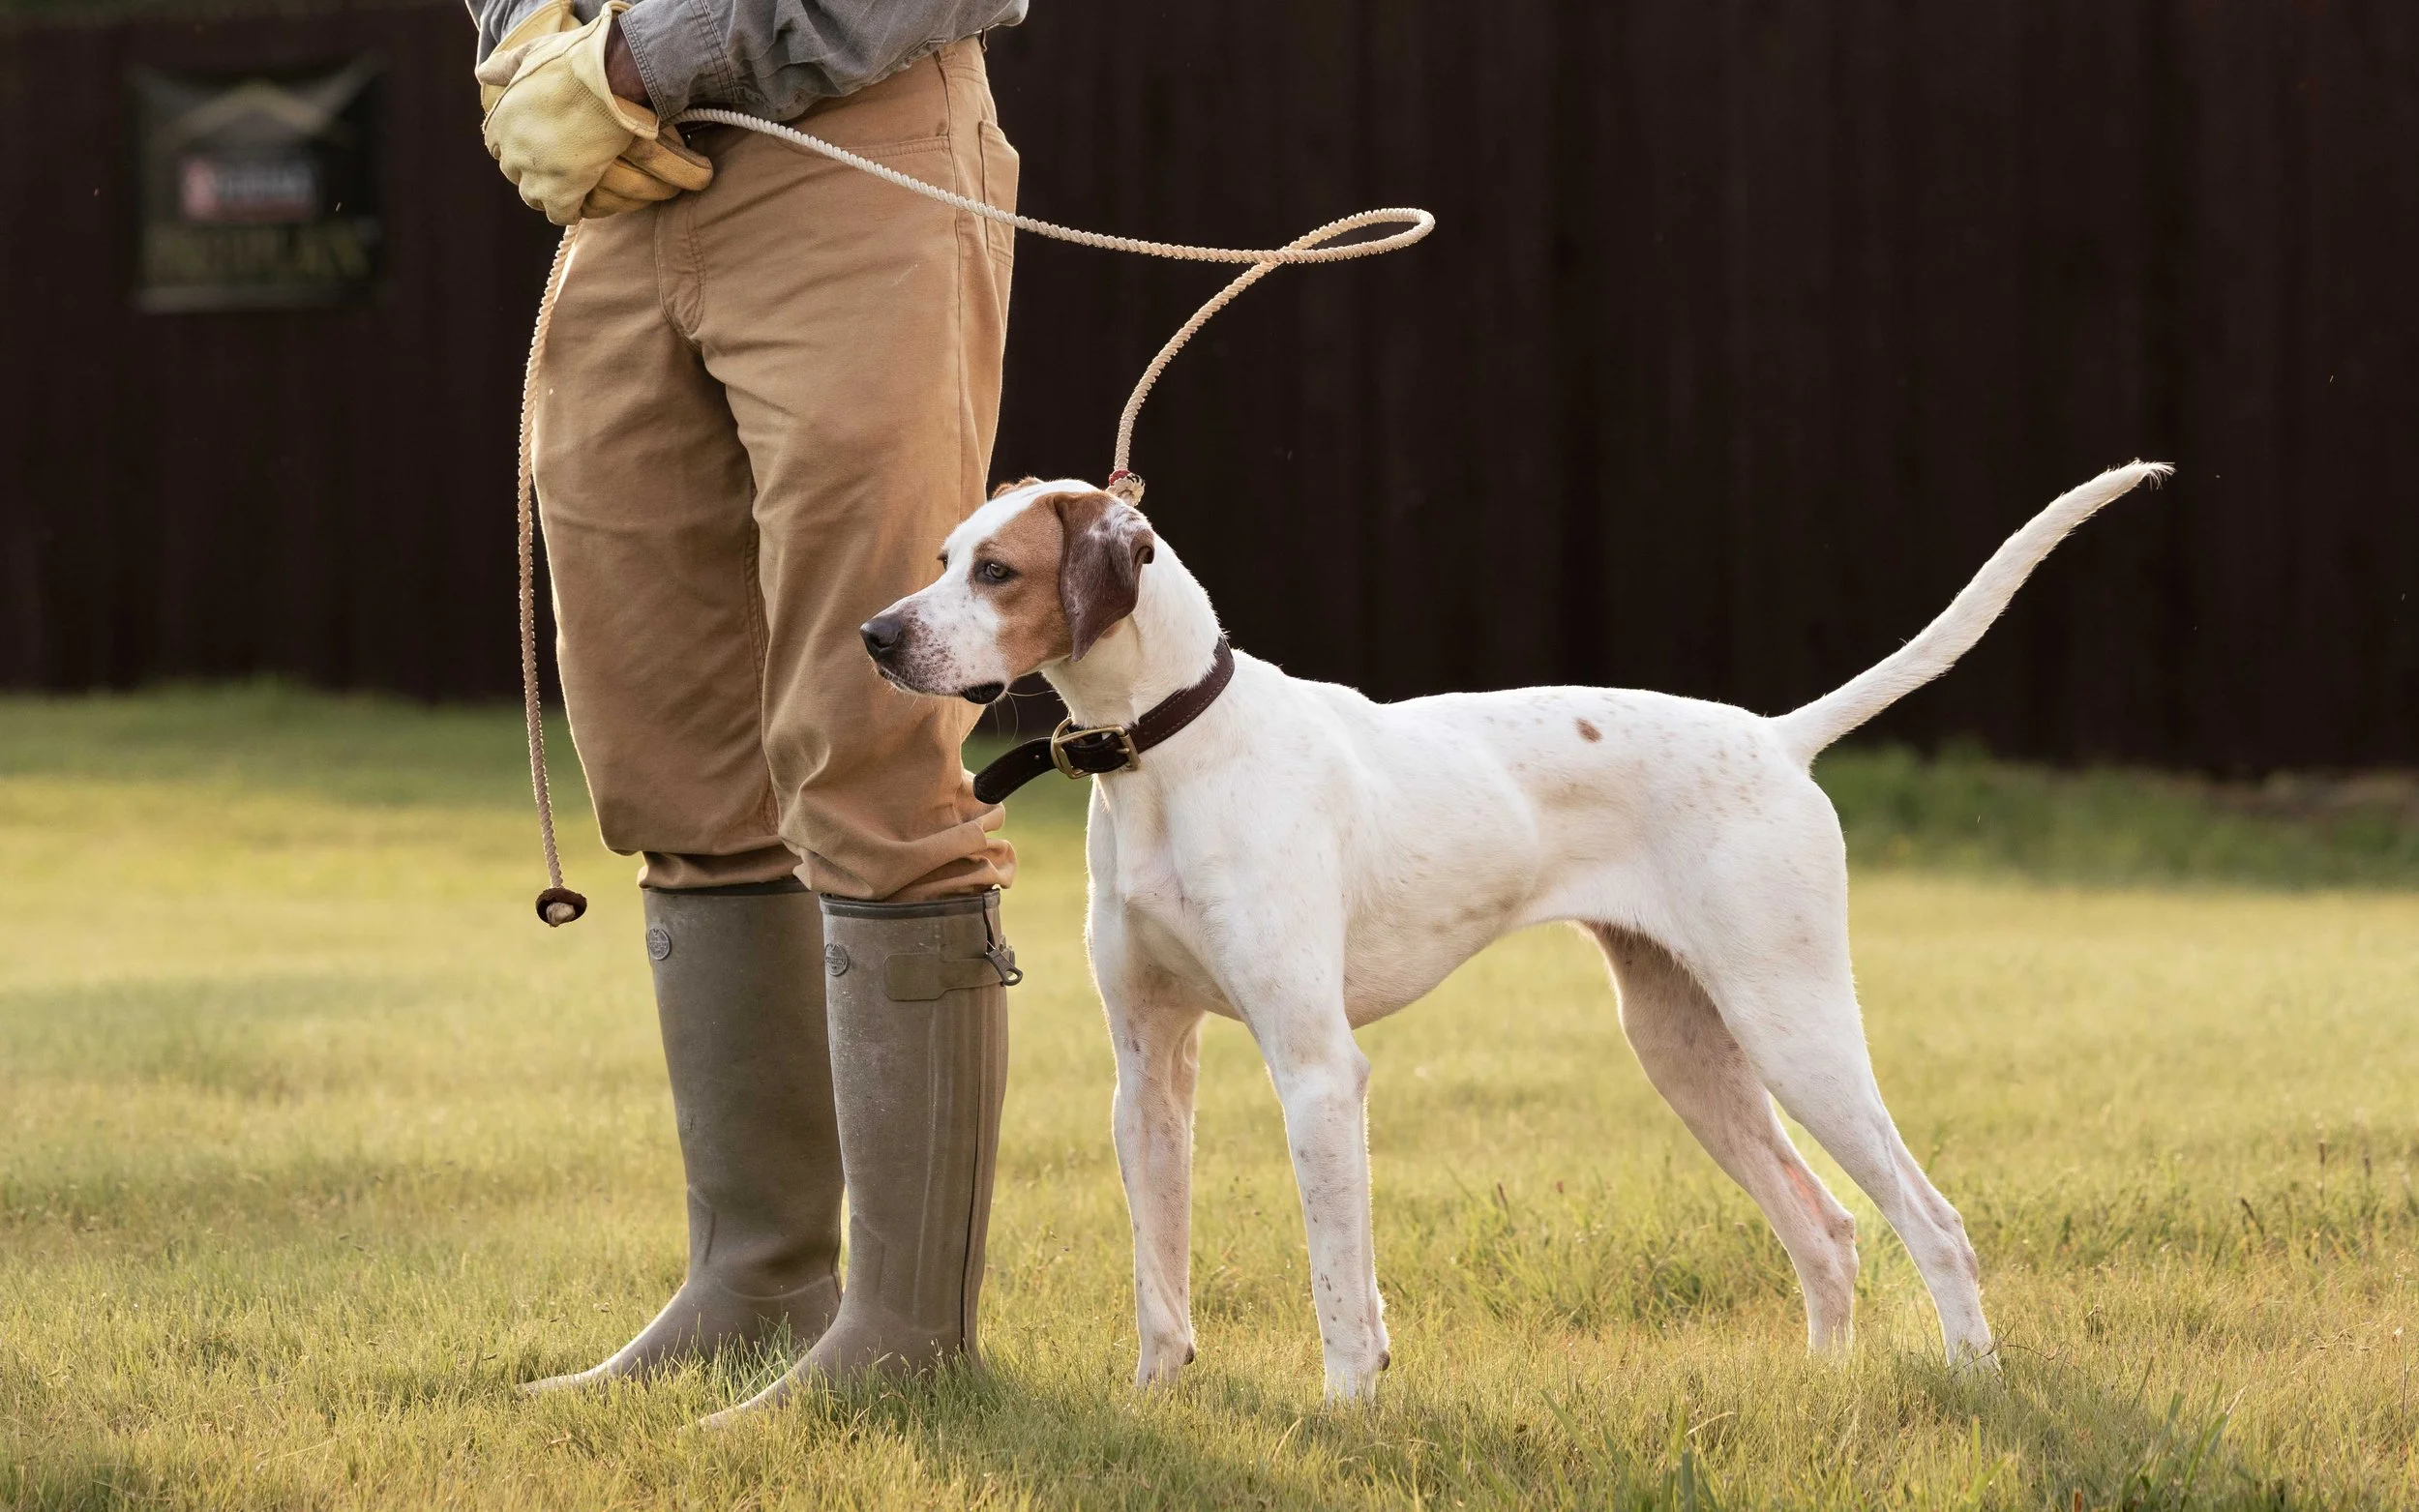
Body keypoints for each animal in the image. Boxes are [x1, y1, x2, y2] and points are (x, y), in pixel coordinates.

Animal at [859, 461, 2169, 1399]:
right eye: (944, 558)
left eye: (999, 571)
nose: (875, 636)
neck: (1170, 755)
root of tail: (1774, 737)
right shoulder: (1147, 1071)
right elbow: (1160, 1280)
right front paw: (1156, 1399)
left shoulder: (1317, 1069)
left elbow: (1339, 1286)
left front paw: (1350, 1411)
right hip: (1685, 1049)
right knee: (1829, 1227)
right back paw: (1826, 1385)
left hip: (1794, 1029)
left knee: (1929, 1220)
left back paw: (1976, 1379)